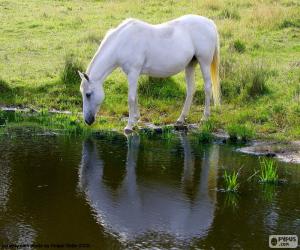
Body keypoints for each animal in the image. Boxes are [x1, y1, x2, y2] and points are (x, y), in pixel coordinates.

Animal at [79, 14, 220, 133]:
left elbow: (131, 98)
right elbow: (135, 95)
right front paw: (136, 119)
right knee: (191, 89)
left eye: (88, 94)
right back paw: (181, 119)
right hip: (190, 64)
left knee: (208, 87)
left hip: (204, 62)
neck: (123, 42)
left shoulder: (133, 72)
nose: (87, 120)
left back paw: (205, 117)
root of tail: (209, 22)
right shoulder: (133, 74)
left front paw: (129, 126)